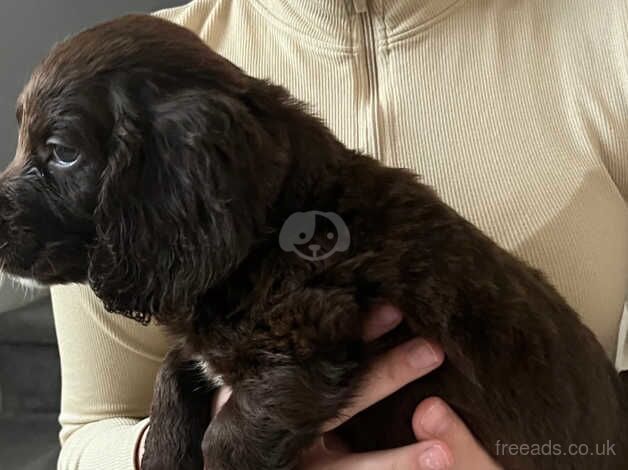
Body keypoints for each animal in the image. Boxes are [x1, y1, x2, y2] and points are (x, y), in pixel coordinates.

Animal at [1, 14, 628, 470]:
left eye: (63, 152)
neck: (265, 235)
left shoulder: (300, 355)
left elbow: (223, 442)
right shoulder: (207, 338)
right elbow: (171, 380)